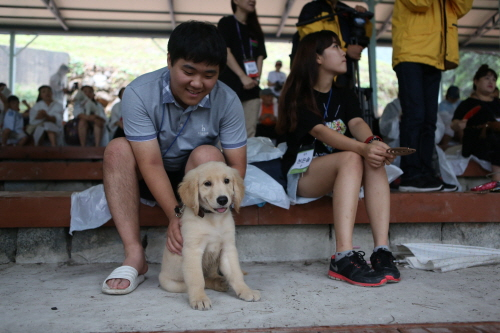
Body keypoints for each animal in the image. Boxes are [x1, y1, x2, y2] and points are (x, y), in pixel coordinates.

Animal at [159, 161, 262, 308]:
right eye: (207, 183)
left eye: (226, 181)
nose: (223, 199)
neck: (214, 220)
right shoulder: (193, 250)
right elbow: (197, 279)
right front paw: (199, 298)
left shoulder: (228, 248)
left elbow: (236, 273)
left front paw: (245, 290)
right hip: (171, 284)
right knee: (203, 281)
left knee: (211, 275)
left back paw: (219, 280)